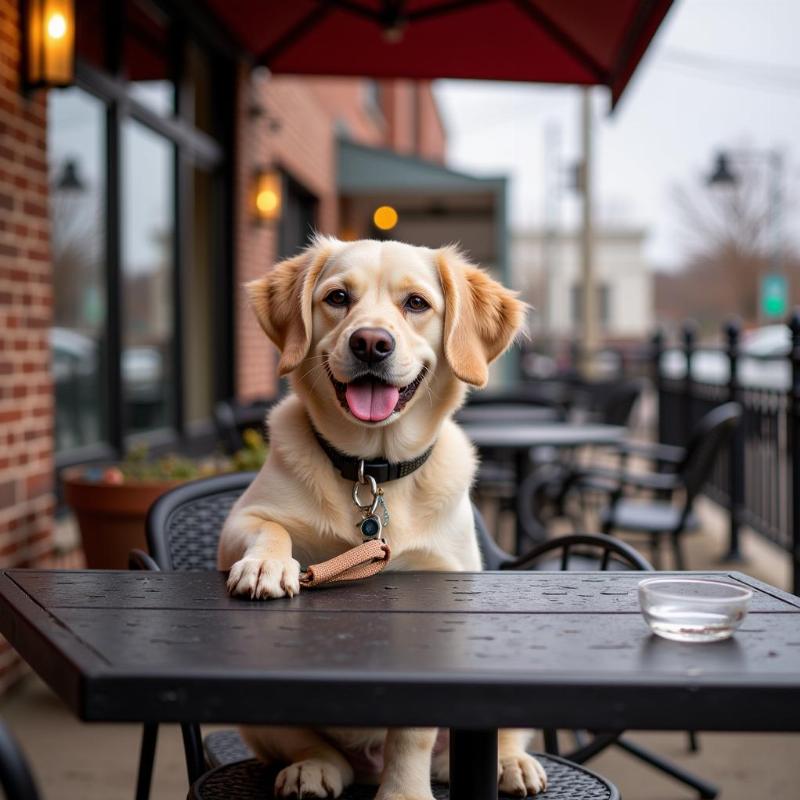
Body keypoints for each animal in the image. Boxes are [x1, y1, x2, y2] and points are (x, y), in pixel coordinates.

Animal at [217, 238, 552, 800]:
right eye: (337, 297)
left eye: (416, 303)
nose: (370, 343)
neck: (369, 468)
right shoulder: (239, 521)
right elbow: (271, 527)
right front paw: (268, 566)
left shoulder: (441, 578)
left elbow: (412, 736)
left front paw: (404, 793)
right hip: (261, 722)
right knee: (317, 749)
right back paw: (314, 768)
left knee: (495, 740)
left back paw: (511, 764)